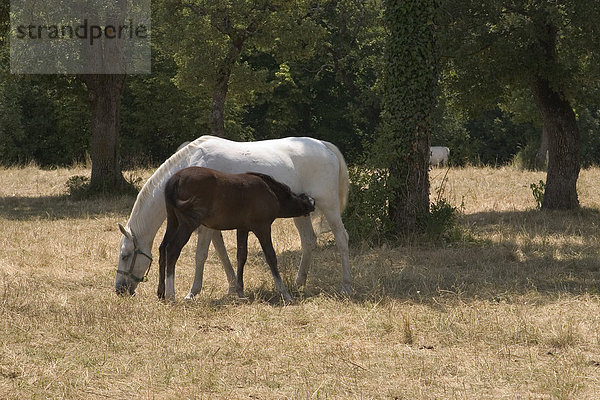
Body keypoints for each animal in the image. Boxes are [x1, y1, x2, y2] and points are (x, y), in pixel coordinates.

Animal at [115, 135, 352, 300]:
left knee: (342, 239)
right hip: (301, 213)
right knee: (308, 240)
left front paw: (192, 292)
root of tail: (324, 145)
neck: (191, 163)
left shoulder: (205, 226)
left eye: (125, 255)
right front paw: (234, 287)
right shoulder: (215, 225)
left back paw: (346, 286)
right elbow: (222, 253)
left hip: (329, 206)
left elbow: (201, 255)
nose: (119, 289)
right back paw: (299, 283)